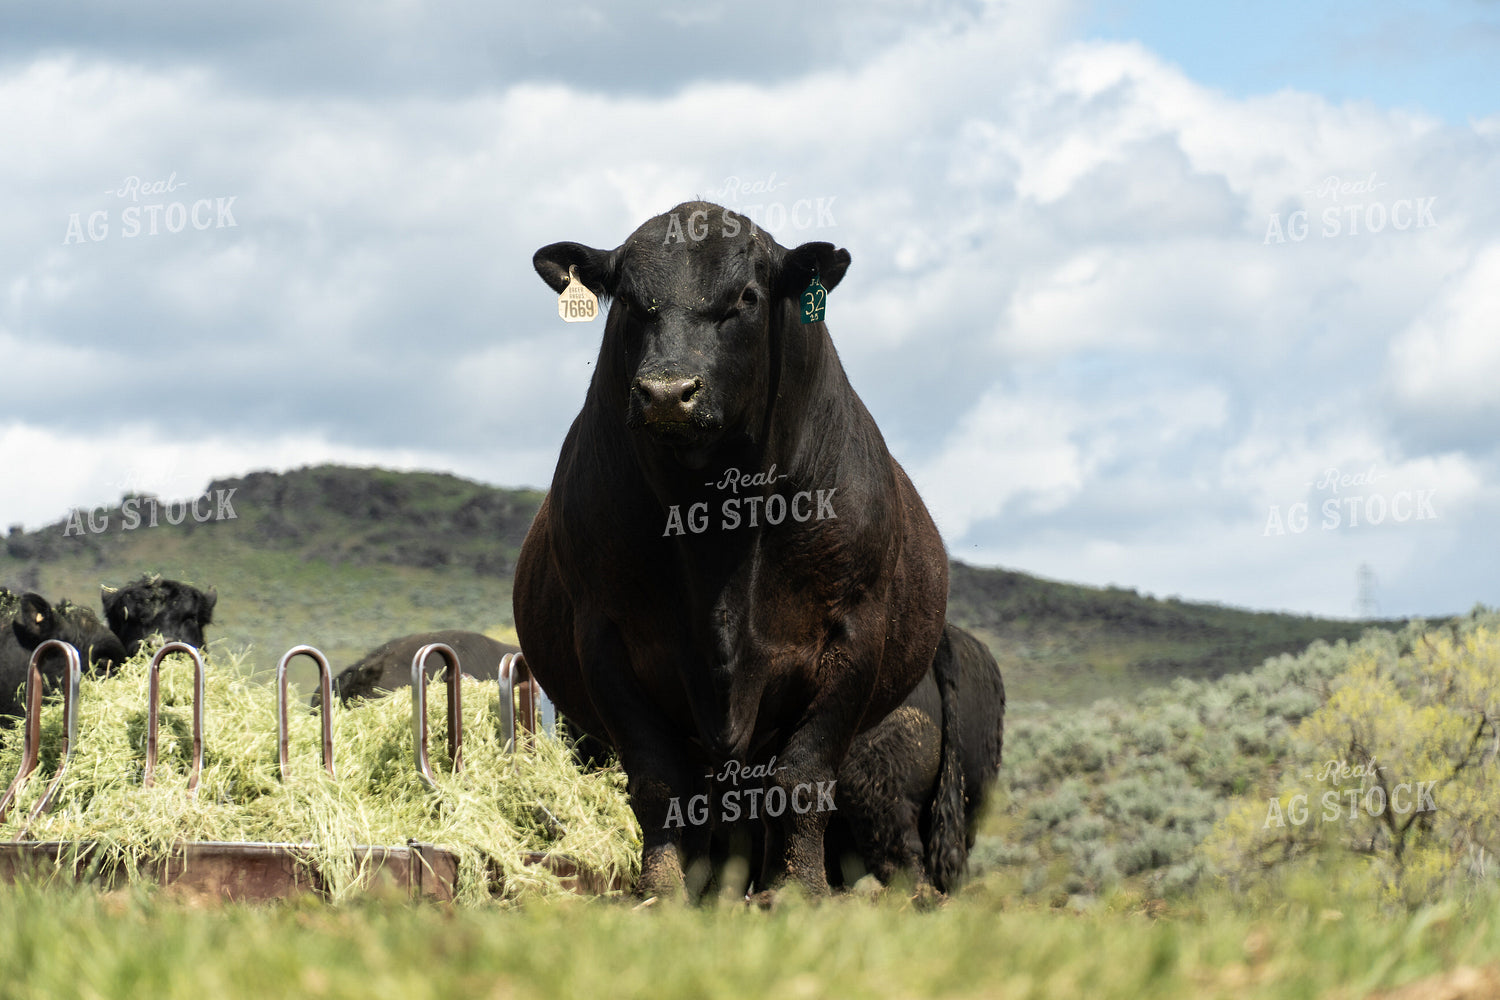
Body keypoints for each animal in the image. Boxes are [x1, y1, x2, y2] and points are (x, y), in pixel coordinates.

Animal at [514, 202, 949, 899]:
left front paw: (799, 892)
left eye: (745, 297)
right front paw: (662, 890)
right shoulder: (604, 633)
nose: (668, 392)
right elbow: (658, 780)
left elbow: (803, 777)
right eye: (629, 300)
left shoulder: (853, 631)